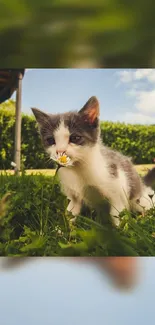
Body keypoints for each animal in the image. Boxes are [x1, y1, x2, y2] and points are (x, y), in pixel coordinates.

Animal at [31, 96, 155, 225]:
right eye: (50, 140)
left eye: (75, 138)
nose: (60, 151)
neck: (79, 169)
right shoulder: (73, 196)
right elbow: (70, 213)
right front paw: (62, 229)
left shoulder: (117, 188)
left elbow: (116, 214)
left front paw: (119, 229)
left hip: (138, 198)